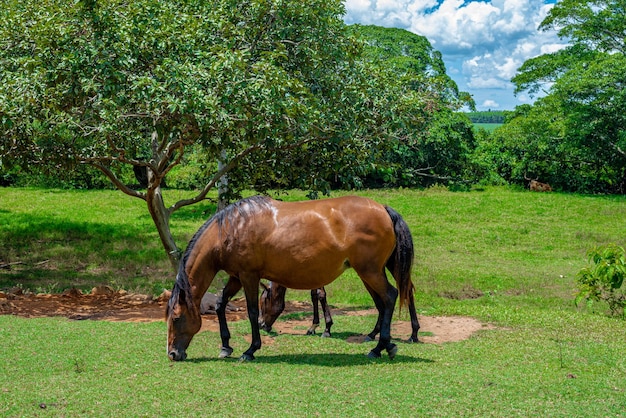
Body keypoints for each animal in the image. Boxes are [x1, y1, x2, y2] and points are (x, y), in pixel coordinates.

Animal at [167, 194, 414, 360]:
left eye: (177, 318)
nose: (172, 354)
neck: (233, 227)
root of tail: (383, 209)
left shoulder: (249, 276)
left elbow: (251, 311)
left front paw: (251, 350)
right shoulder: (236, 277)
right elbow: (220, 304)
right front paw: (226, 346)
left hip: (370, 272)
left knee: (391, 296)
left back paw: (380, 347)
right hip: (375, 271)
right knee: (389, 299)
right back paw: (386, 344)